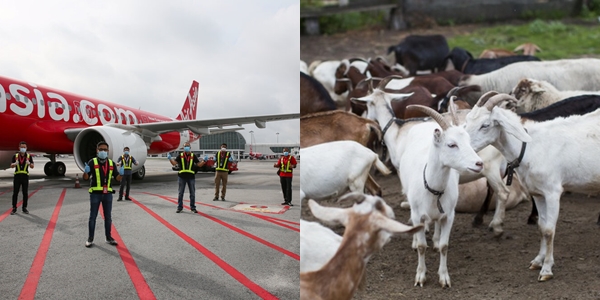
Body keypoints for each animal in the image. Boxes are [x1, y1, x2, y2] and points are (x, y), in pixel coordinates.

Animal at [354, 78, 486, 288]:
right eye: (451, 144)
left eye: (467, 139)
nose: (479, 163)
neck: (433, 189)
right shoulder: (417, 211)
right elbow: (422, 245)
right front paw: (421, 275)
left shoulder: (449, 215)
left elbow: (444, 246)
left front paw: (444, 277)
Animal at [462, 92, 600, 282]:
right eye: (468, 120)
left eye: (485, 125)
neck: (530, 147)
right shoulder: (538, 193)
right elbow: (541, 227)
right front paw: (537, 261)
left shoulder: (553, 193)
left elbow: (549, 230)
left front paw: (547, 270)